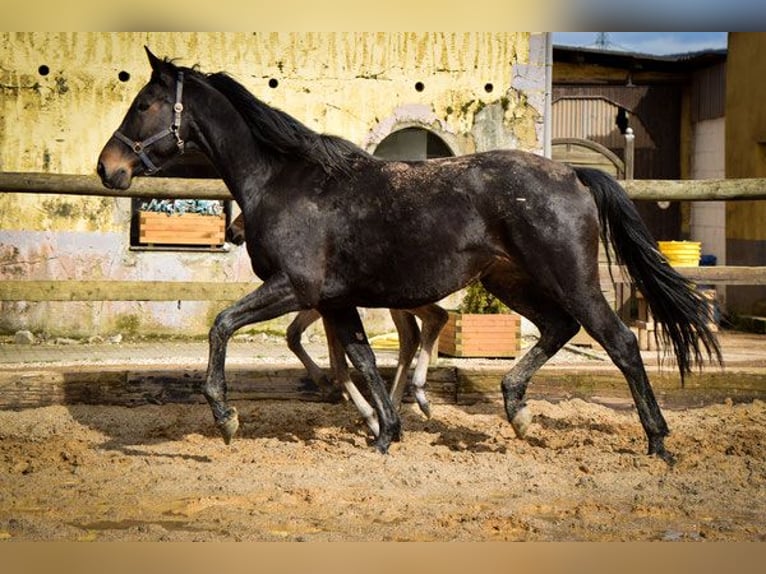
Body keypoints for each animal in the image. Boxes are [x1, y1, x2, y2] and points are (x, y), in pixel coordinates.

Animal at [97, 47, 720, 466]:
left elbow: (223, 325)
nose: (109, 168)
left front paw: (226, 419)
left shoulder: (295, 288)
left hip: (570, 278)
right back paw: (517, 412)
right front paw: (384, 432)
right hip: (510, 281)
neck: (283, 181)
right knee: (557, 328)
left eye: (145, 103)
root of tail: (574, 174)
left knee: (620, 342)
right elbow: (363, 360)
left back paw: (657, 442)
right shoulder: (335, 301)